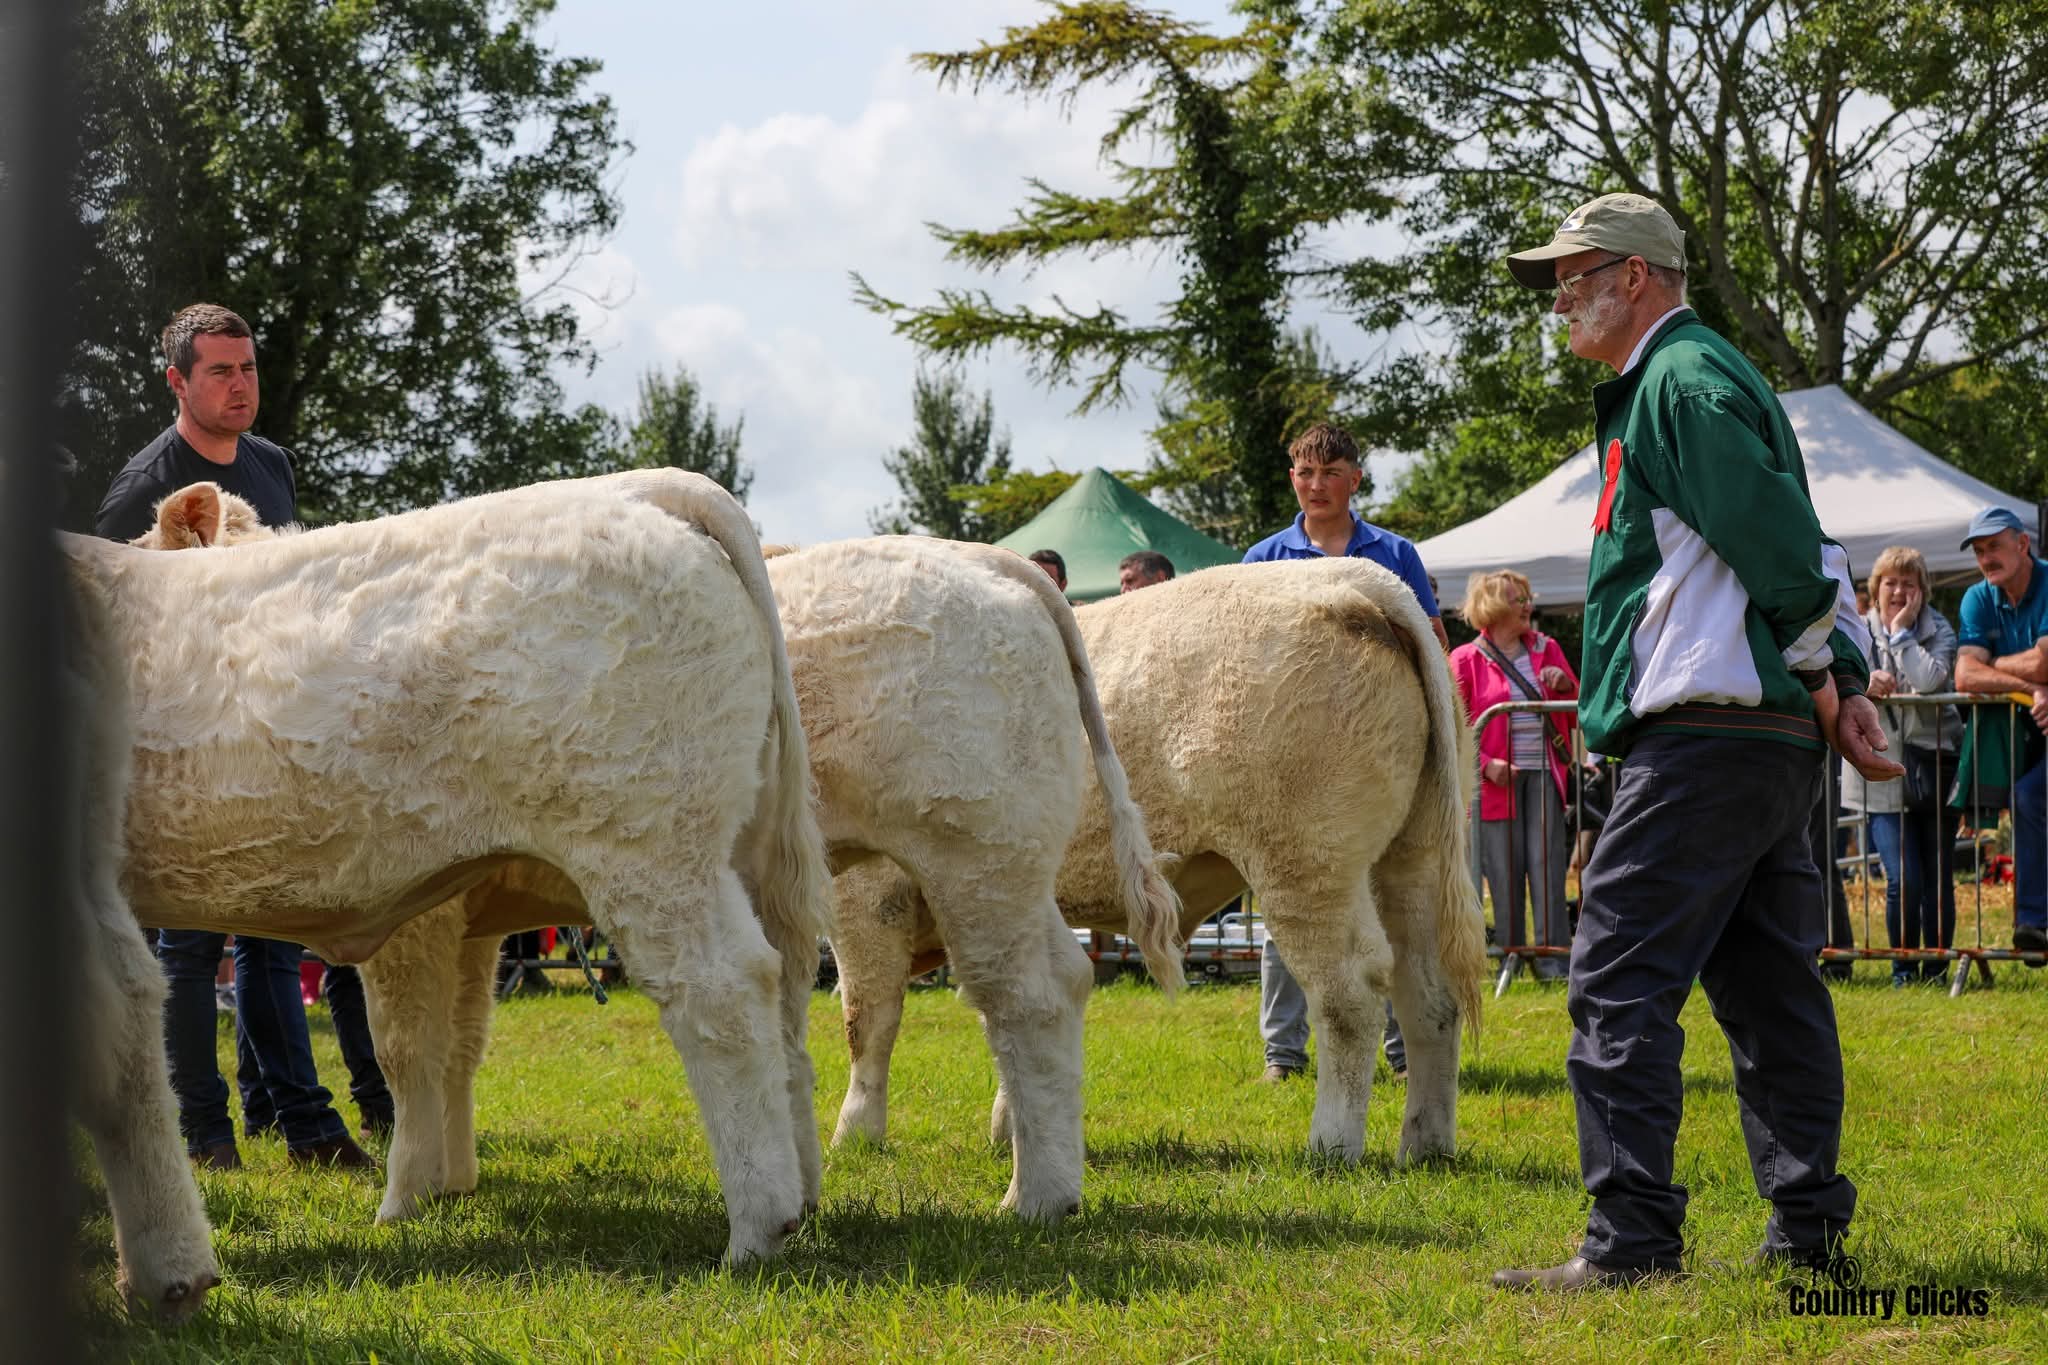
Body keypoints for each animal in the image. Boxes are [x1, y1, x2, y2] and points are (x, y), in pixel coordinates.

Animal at [63, 469, 831, 1318]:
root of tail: (648, 491)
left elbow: (408, 1049)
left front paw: (405, 1198)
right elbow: (449, 1042)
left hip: (649, 842)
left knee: (722, 994)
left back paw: (758, 1225)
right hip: (745, 848)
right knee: (787, 991)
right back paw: (807, 1190)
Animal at [832, 558, 1488, 1167]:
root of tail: (1360, 583)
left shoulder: (869, 893)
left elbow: (869, 1016)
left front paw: (855, 1135)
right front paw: (1012, 1126)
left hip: (1305, 858)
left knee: (1350, 991)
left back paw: (1331, 1145)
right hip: (1412, 855)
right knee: (1429, 993)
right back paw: (1426, 1144)